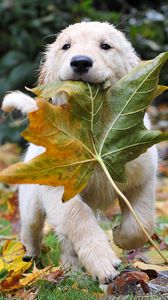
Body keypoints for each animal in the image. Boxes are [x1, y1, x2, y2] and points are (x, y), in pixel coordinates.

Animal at [1, 21, 158, 284]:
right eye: (66, 46)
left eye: (105, 46)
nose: (81, 62)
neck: (94, 129)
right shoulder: (59, 189)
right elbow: (79, 219)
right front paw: (103, 262)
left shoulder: (143, 177)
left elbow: (141, 222)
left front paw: (120, 237)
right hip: (30, 203)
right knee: (32, 232)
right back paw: (30, 262)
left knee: (66, 242)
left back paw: (71, 270)